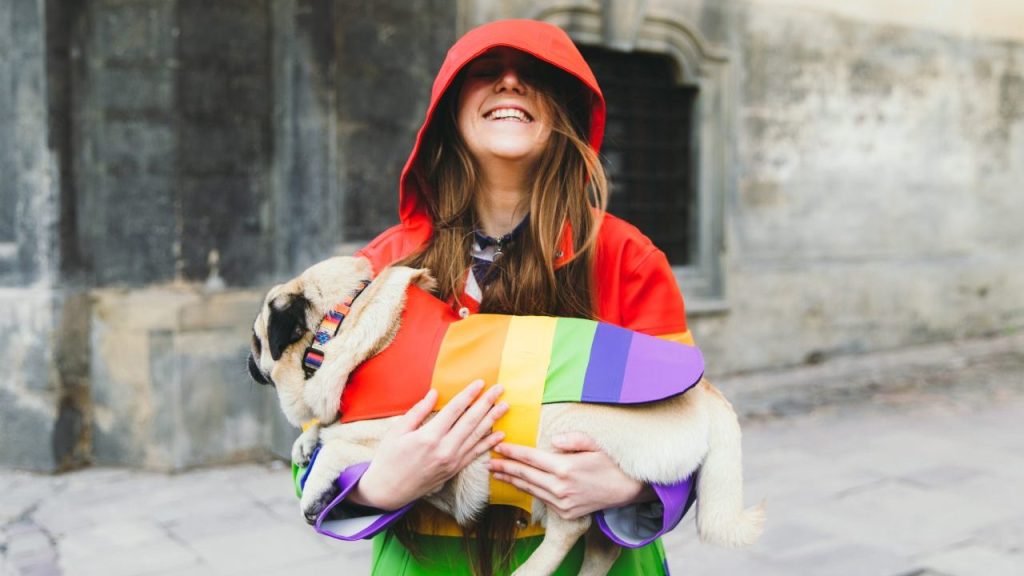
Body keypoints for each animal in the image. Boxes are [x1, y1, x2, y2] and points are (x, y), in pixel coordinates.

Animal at [245, 255, 761, 573]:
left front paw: (314, 488)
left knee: (573, 527)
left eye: (256, 340)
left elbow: (337, 448)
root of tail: (708, 392)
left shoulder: (403, 435)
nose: (247, 360)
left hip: (557, 434)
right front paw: (306, 440)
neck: (344, 320)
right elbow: (326, 430)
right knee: (604, 545)